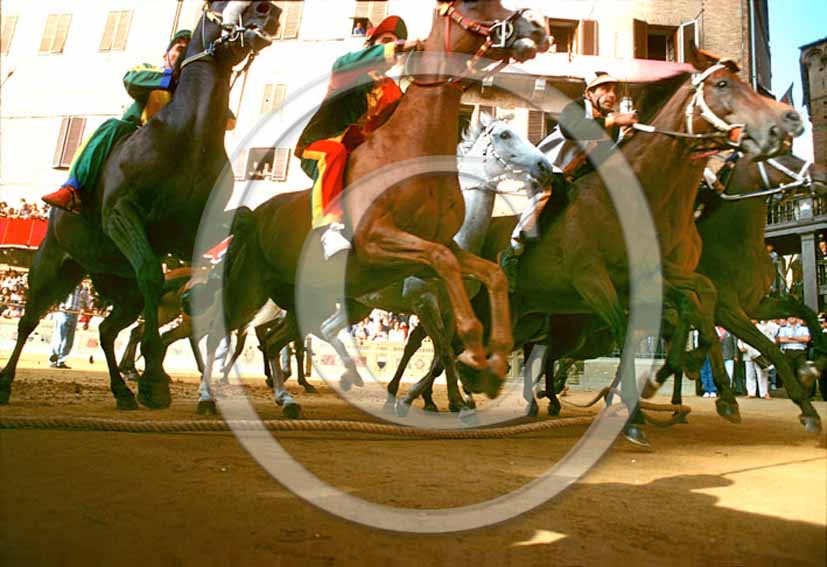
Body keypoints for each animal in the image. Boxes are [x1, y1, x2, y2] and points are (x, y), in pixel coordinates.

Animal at [0, 1, 282, 408]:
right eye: (213, 5)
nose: (268, 10)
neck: (187, 137)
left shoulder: (193, 228)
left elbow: (243, 221)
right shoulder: (122, 213)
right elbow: (150, 270)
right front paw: (153, 377)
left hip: (119, 289)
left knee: (105, 329)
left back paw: (122, 390)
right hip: (51, 266)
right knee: (29, 320)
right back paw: (7, 382)